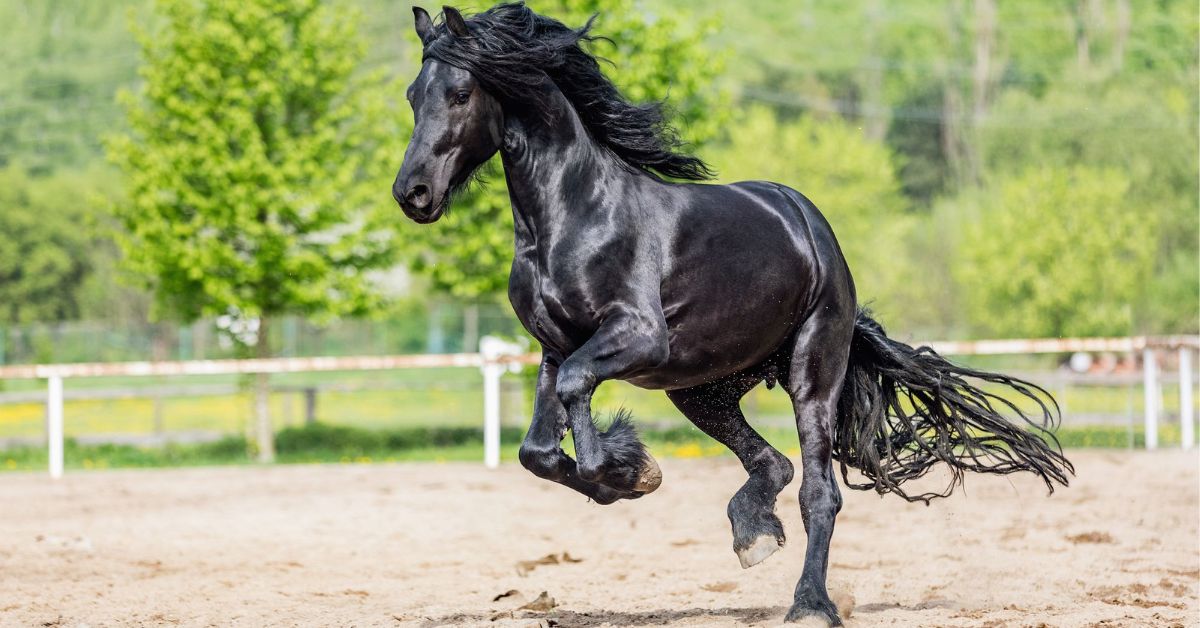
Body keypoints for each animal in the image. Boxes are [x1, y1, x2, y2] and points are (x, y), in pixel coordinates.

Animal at [391, 4, 1070, 624]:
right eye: (412, 96)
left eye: (459, 93)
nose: (412, 193)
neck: (574, 214)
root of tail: (811, 226)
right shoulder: (555, 348)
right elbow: (538, 448)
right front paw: (628, 474)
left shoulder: (638, 337)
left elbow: (579, 401)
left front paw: (628, 471)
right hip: (700, 389)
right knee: (772, 462)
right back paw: (754, 534)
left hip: (809, 370)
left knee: (819, 492)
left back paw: (811, 603)